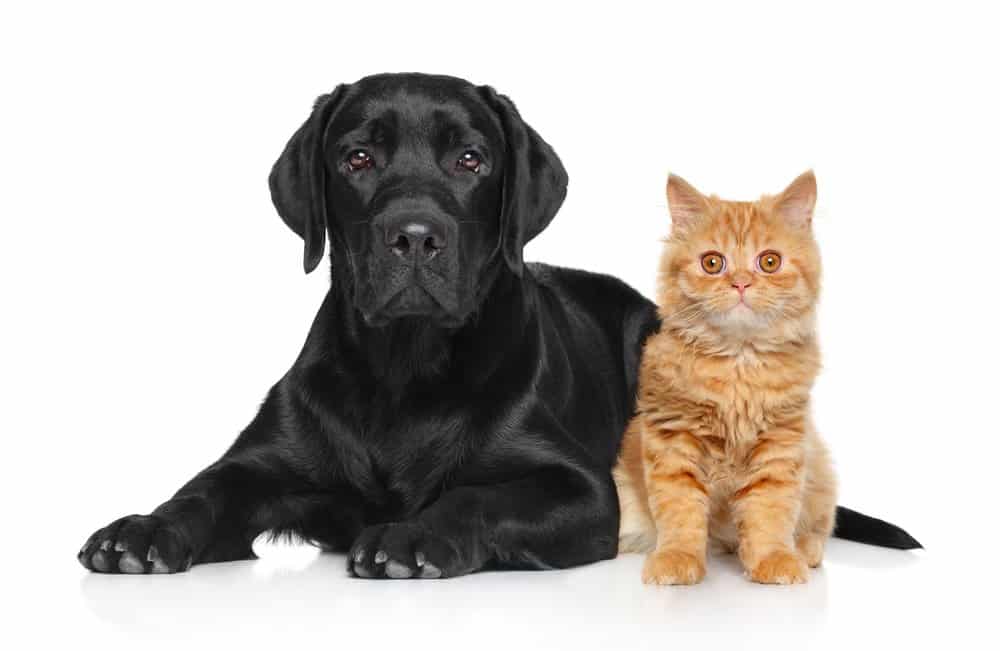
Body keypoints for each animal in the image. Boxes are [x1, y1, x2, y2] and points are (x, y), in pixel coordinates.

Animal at [616, 169, 836, 584]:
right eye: (712, 262)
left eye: (769, 262)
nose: (741, 283)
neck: (738, 365)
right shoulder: (673, 441)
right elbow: (680, 512)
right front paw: (676, 560)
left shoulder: (780, 445)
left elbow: (770, 514)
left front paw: (773, 560)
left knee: (816, 526)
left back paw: (804, 549)